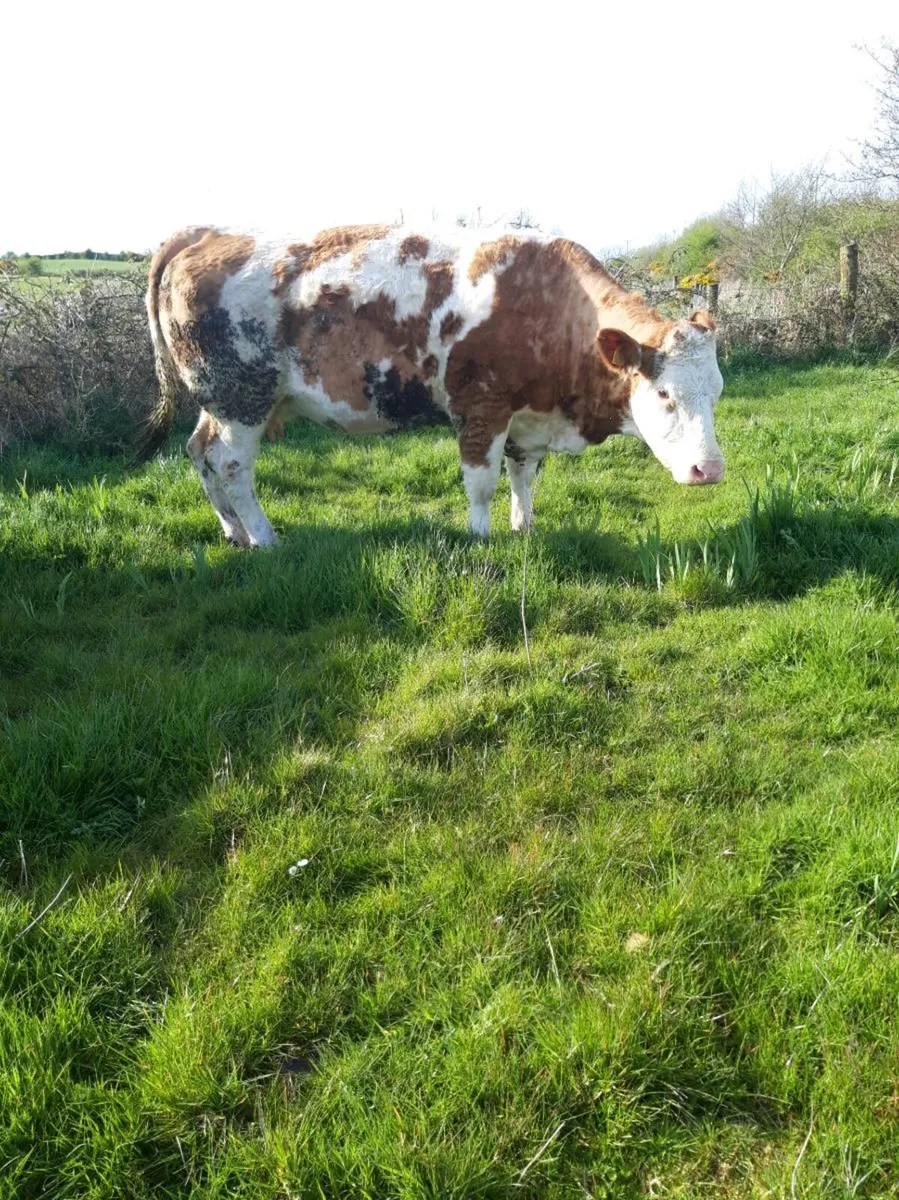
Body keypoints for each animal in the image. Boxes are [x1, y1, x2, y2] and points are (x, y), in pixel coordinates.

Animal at [140, 224, 724, 547]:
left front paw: (524, 529)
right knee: (232, 466)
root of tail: (206, 234)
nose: (710, 470)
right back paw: (264, 537)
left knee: (199, 452)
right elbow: (482, 482)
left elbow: (523, 478)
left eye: (716, 392)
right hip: (242, 399)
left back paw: (233, 531)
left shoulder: (528, 418)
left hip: (218, 402)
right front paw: (481, 539)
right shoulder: (481, 406)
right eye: (665, 395)